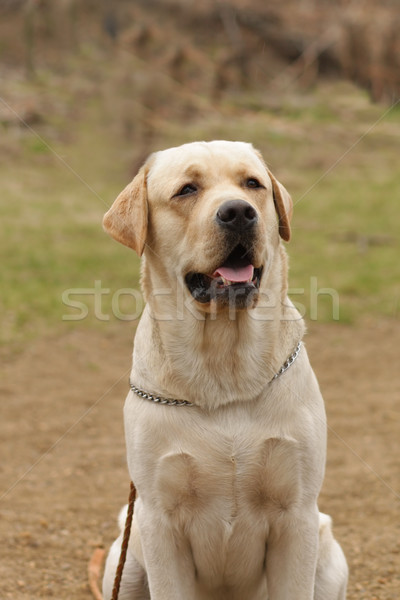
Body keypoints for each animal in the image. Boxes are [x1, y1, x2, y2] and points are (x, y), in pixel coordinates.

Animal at [100, 142, 346, 600]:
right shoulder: (159, 522)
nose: (238, 212)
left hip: (327, 555)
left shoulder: (297, 514)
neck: (223, 370)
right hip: (125, 565)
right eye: (186, 190)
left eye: (253, 184)